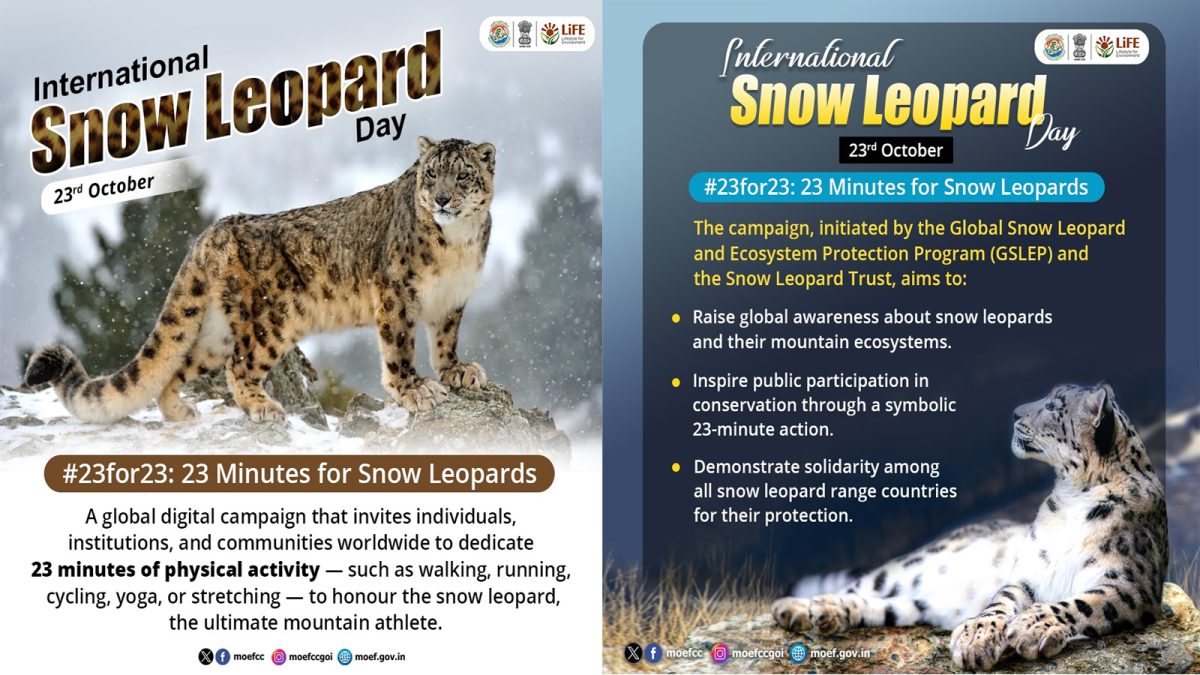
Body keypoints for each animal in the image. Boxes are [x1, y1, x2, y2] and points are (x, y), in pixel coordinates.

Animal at [24, 136, 495, 423]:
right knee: (240, 366)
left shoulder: (453, 299)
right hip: (271, 320)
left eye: (462, 174)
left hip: (217, 329)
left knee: (183, 363)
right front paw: (416, 391)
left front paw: (458, 372)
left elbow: (445, 340)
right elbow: (399, 349)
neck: (458, 243)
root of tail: (214, 230)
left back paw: (180, 412)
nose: (442, 198)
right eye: (431, 173)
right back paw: (262, 405)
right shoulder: (396, 294)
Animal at [772, 383, 1168, 671]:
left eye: (1055, 406)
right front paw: (978, 636)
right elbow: (1002, 600)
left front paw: (1031, 628)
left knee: (880, 606)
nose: (1015, 412)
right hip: (905, 566)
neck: (1072, 494)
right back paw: (801, 609)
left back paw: (823, 614)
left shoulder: (1130, 584)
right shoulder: (1027, 572)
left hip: (911, 605)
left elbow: (1082, 604)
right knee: (858, 587)